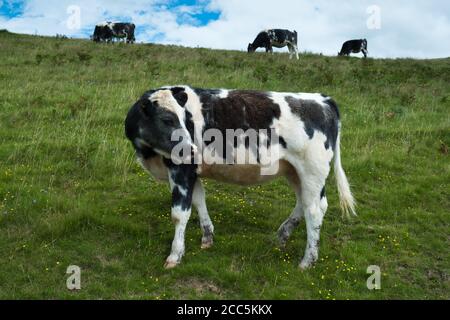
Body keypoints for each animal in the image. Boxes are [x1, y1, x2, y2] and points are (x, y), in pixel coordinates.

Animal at [124, 85, 356, 270]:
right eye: (166, 119)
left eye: (184, 119)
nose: (191, 150)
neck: (149, 154)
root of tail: (322, 98)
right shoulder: (193, 172)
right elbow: (199, 201)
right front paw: (207, 236)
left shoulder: (181, 169)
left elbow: (179, 214)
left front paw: (175, 255)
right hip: (295, 171)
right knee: (306, 203)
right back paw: (282, 235)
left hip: (312, 171)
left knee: (314, 210)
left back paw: (308, 261)